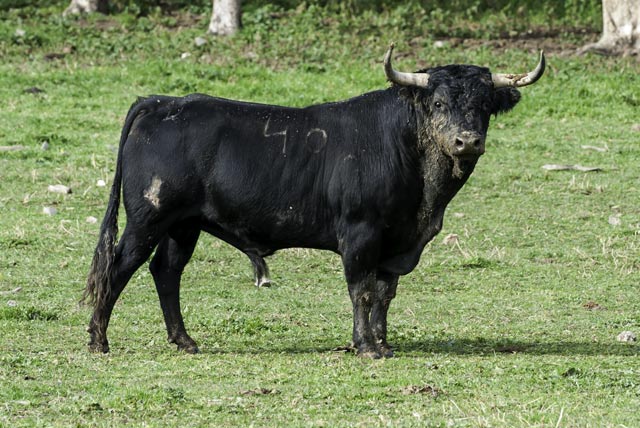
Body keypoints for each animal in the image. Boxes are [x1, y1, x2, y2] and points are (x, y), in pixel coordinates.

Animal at [85, 46, 544, 358]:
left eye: (485, 105)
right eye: (438, 102)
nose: (467, 141)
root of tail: (162, 102)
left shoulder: (395, 243)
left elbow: (385, 293)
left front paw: (383, 342)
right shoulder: (360, 234)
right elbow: (362, 291)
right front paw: (366, 347)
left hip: (183, 226)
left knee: (166, 271)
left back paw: (184, 340)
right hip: (147, 218)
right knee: (119, 266)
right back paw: (98, 340)